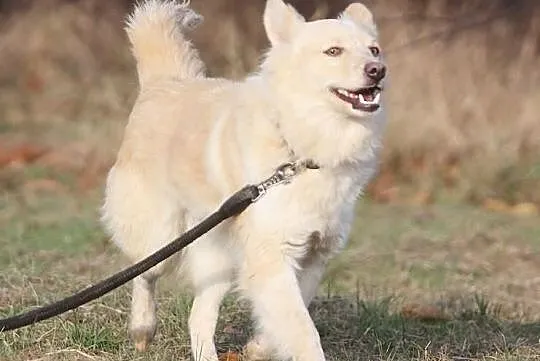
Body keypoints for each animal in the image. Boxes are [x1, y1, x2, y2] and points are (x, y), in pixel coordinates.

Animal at [101, 1, 386, 358]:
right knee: (143, 273)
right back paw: (142, 327)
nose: (378, 70)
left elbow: (289, 317)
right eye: (333, 51)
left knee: (198, 316)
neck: (304, 148)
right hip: (162, 235)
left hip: (220, 260)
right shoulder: (272, 254)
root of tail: (164, 81)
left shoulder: (313, 255)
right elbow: (303, 329)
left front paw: (258, 348)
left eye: (374, 50)